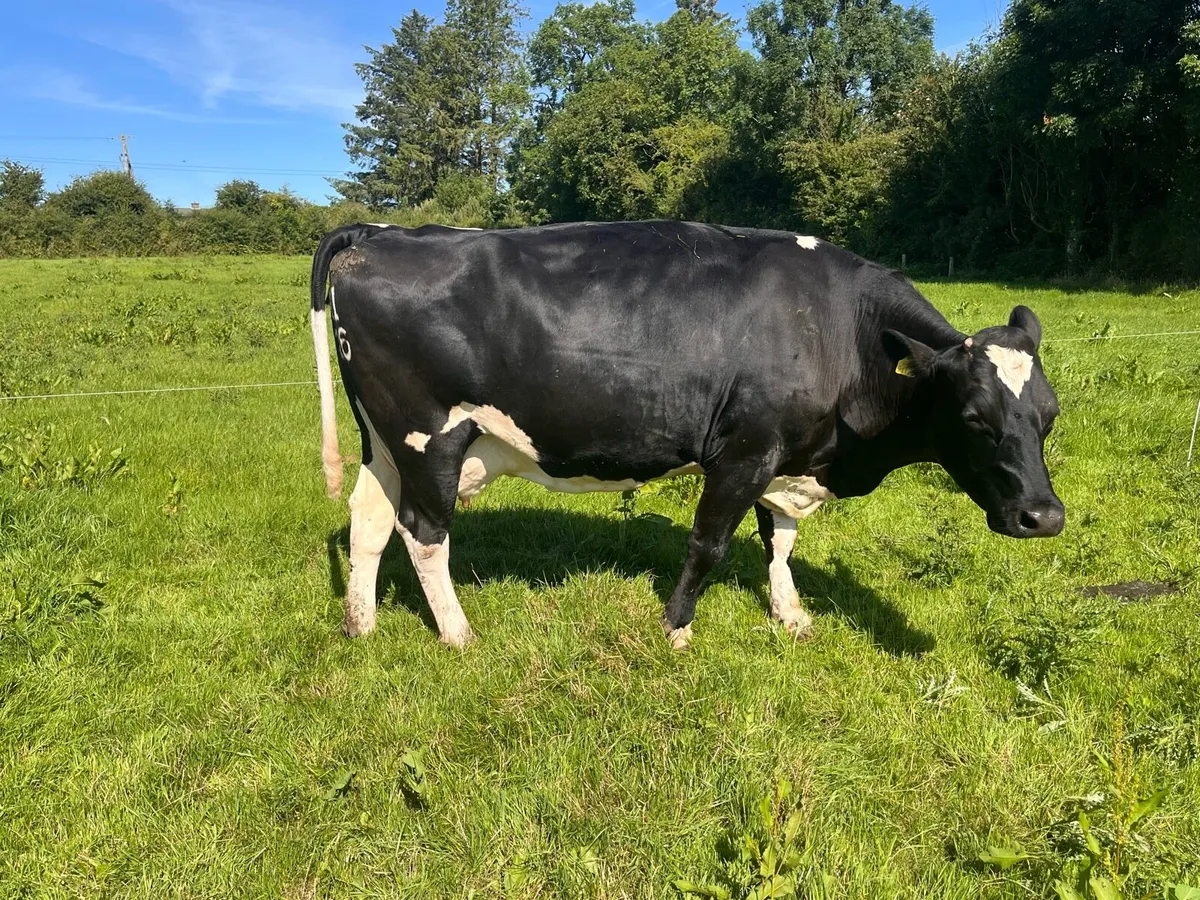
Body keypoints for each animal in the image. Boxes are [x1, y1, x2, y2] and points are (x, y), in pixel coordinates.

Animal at [309, 221, 1063, 649]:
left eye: (1050, 414)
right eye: (973, 417)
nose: (1044, 516)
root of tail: (383, 231)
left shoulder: (787, 454)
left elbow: (781, 541)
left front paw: (789, 615)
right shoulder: (745, 450)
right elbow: (710, 544)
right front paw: (676, 628)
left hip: (384, 440)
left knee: (368, 519)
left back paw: (361, 624)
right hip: (427, 434)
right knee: (422, 532)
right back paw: (459, 635)